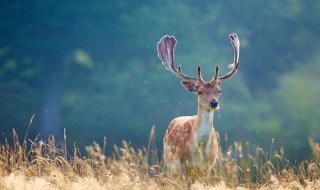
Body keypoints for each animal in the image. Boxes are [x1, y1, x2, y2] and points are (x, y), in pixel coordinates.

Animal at [158, 33, 240, 181]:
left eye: (219, 91)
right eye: (200, 91)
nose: (214, 103)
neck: (199, 148)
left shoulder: (207, 167)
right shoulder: (182, 164)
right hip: (169, 164)